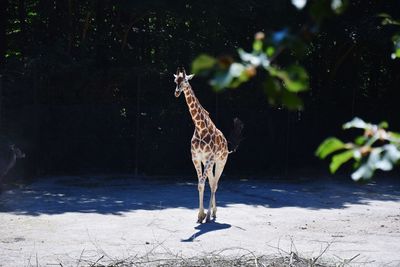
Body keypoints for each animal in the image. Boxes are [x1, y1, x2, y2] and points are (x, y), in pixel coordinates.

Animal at [173, 67, 244, 224]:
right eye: (175, 81)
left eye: (185, 80)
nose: (177, 92)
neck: (200, 128)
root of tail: (227, 146)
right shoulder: (196, 158)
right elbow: (200, 185)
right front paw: (200, 215)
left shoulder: (210, 158)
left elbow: (203, 183)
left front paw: (203, 214)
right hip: (209, 163)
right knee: (212, 182)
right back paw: (213, 213)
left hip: (220, 161)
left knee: (215, 184)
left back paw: (212, 214)